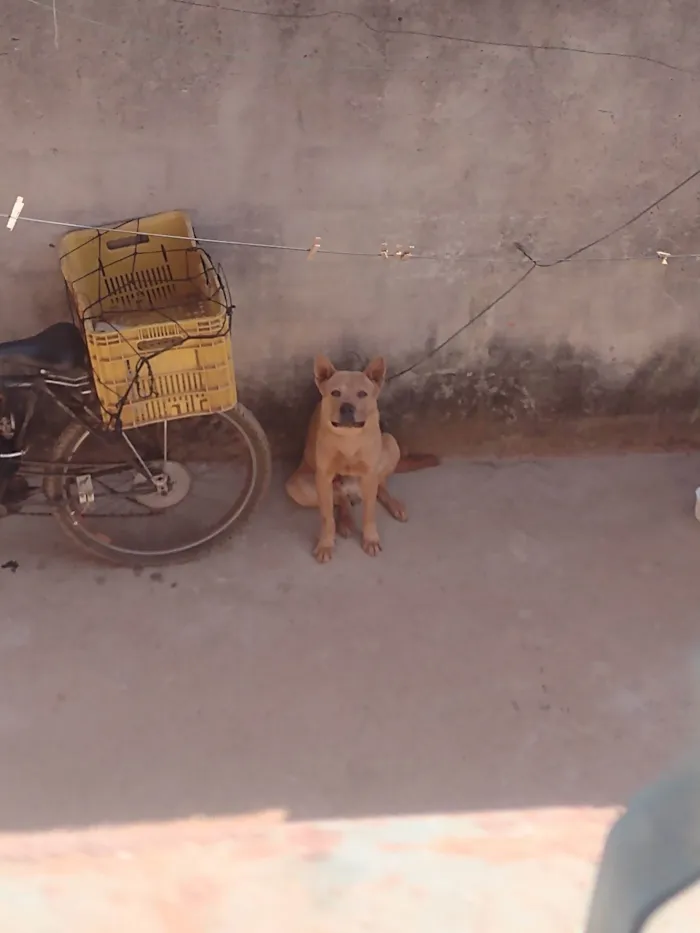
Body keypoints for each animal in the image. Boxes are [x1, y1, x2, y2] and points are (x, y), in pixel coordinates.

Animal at [286, 354, 438, 560]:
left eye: (362, 394)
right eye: (335, 393)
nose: (347, 408)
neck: (349, 437)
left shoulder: (369, 473)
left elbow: (369, 513)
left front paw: (370, 539)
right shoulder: (323, 477)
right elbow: (327, 517)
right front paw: (326, 543)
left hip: (391, 443)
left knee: (380, 487)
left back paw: (394, 504)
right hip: (297, 485)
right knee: (340, 498)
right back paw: (346, 520)